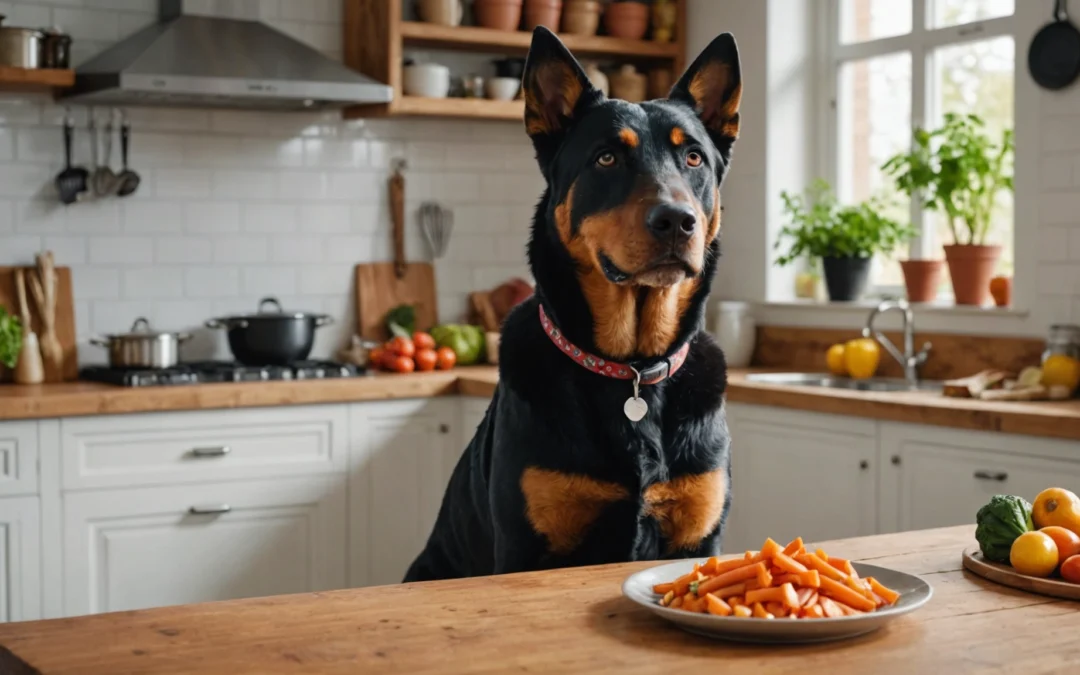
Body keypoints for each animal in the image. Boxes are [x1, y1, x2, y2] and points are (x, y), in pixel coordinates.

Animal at [406, 27, 743, 578]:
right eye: (607, 158)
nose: (677, 221)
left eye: (693, 158)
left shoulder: (699, 537)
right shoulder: (524, 549)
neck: (631, 369)